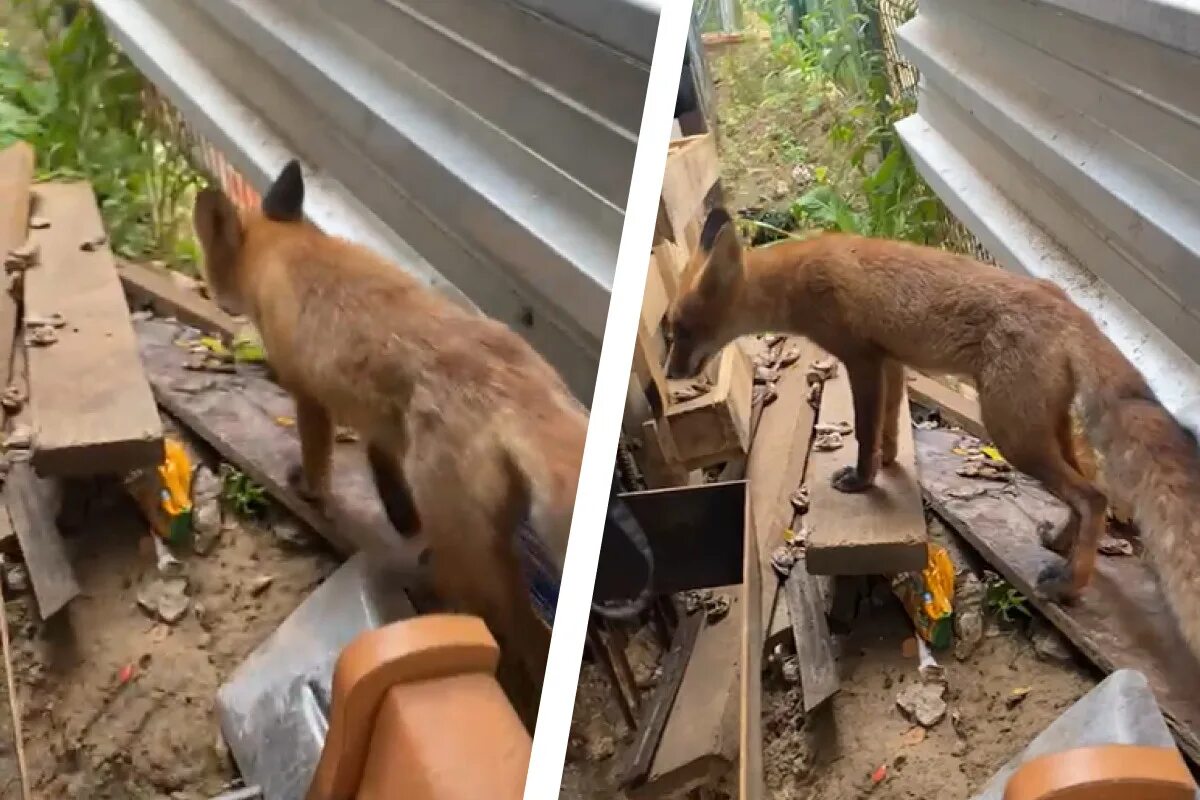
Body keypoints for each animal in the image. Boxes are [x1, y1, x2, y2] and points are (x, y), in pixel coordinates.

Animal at [192, 159, 585, 705]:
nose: (213, 294)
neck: (287, 250)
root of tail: (514, 385)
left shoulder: (310, 396)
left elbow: (317, 459)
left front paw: (310, 491)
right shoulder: (379, 420)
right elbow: (383, 470)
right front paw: (400, 517)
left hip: (469, 553)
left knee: (518, 634)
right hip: (490, 541)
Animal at [667, 208, 1200, 662]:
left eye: (682, 331)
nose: (671, 376)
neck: (796, 280)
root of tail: (1068, 305)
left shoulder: (861, 358)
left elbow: (865, 431)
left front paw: (862, 481)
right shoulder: (889, 360)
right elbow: (886, 430)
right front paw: (887, 465)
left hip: (1013, 434)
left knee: (1092, 496)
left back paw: (1072, 584)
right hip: (1042, 430)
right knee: (1088, 488)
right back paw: (1061, 544)